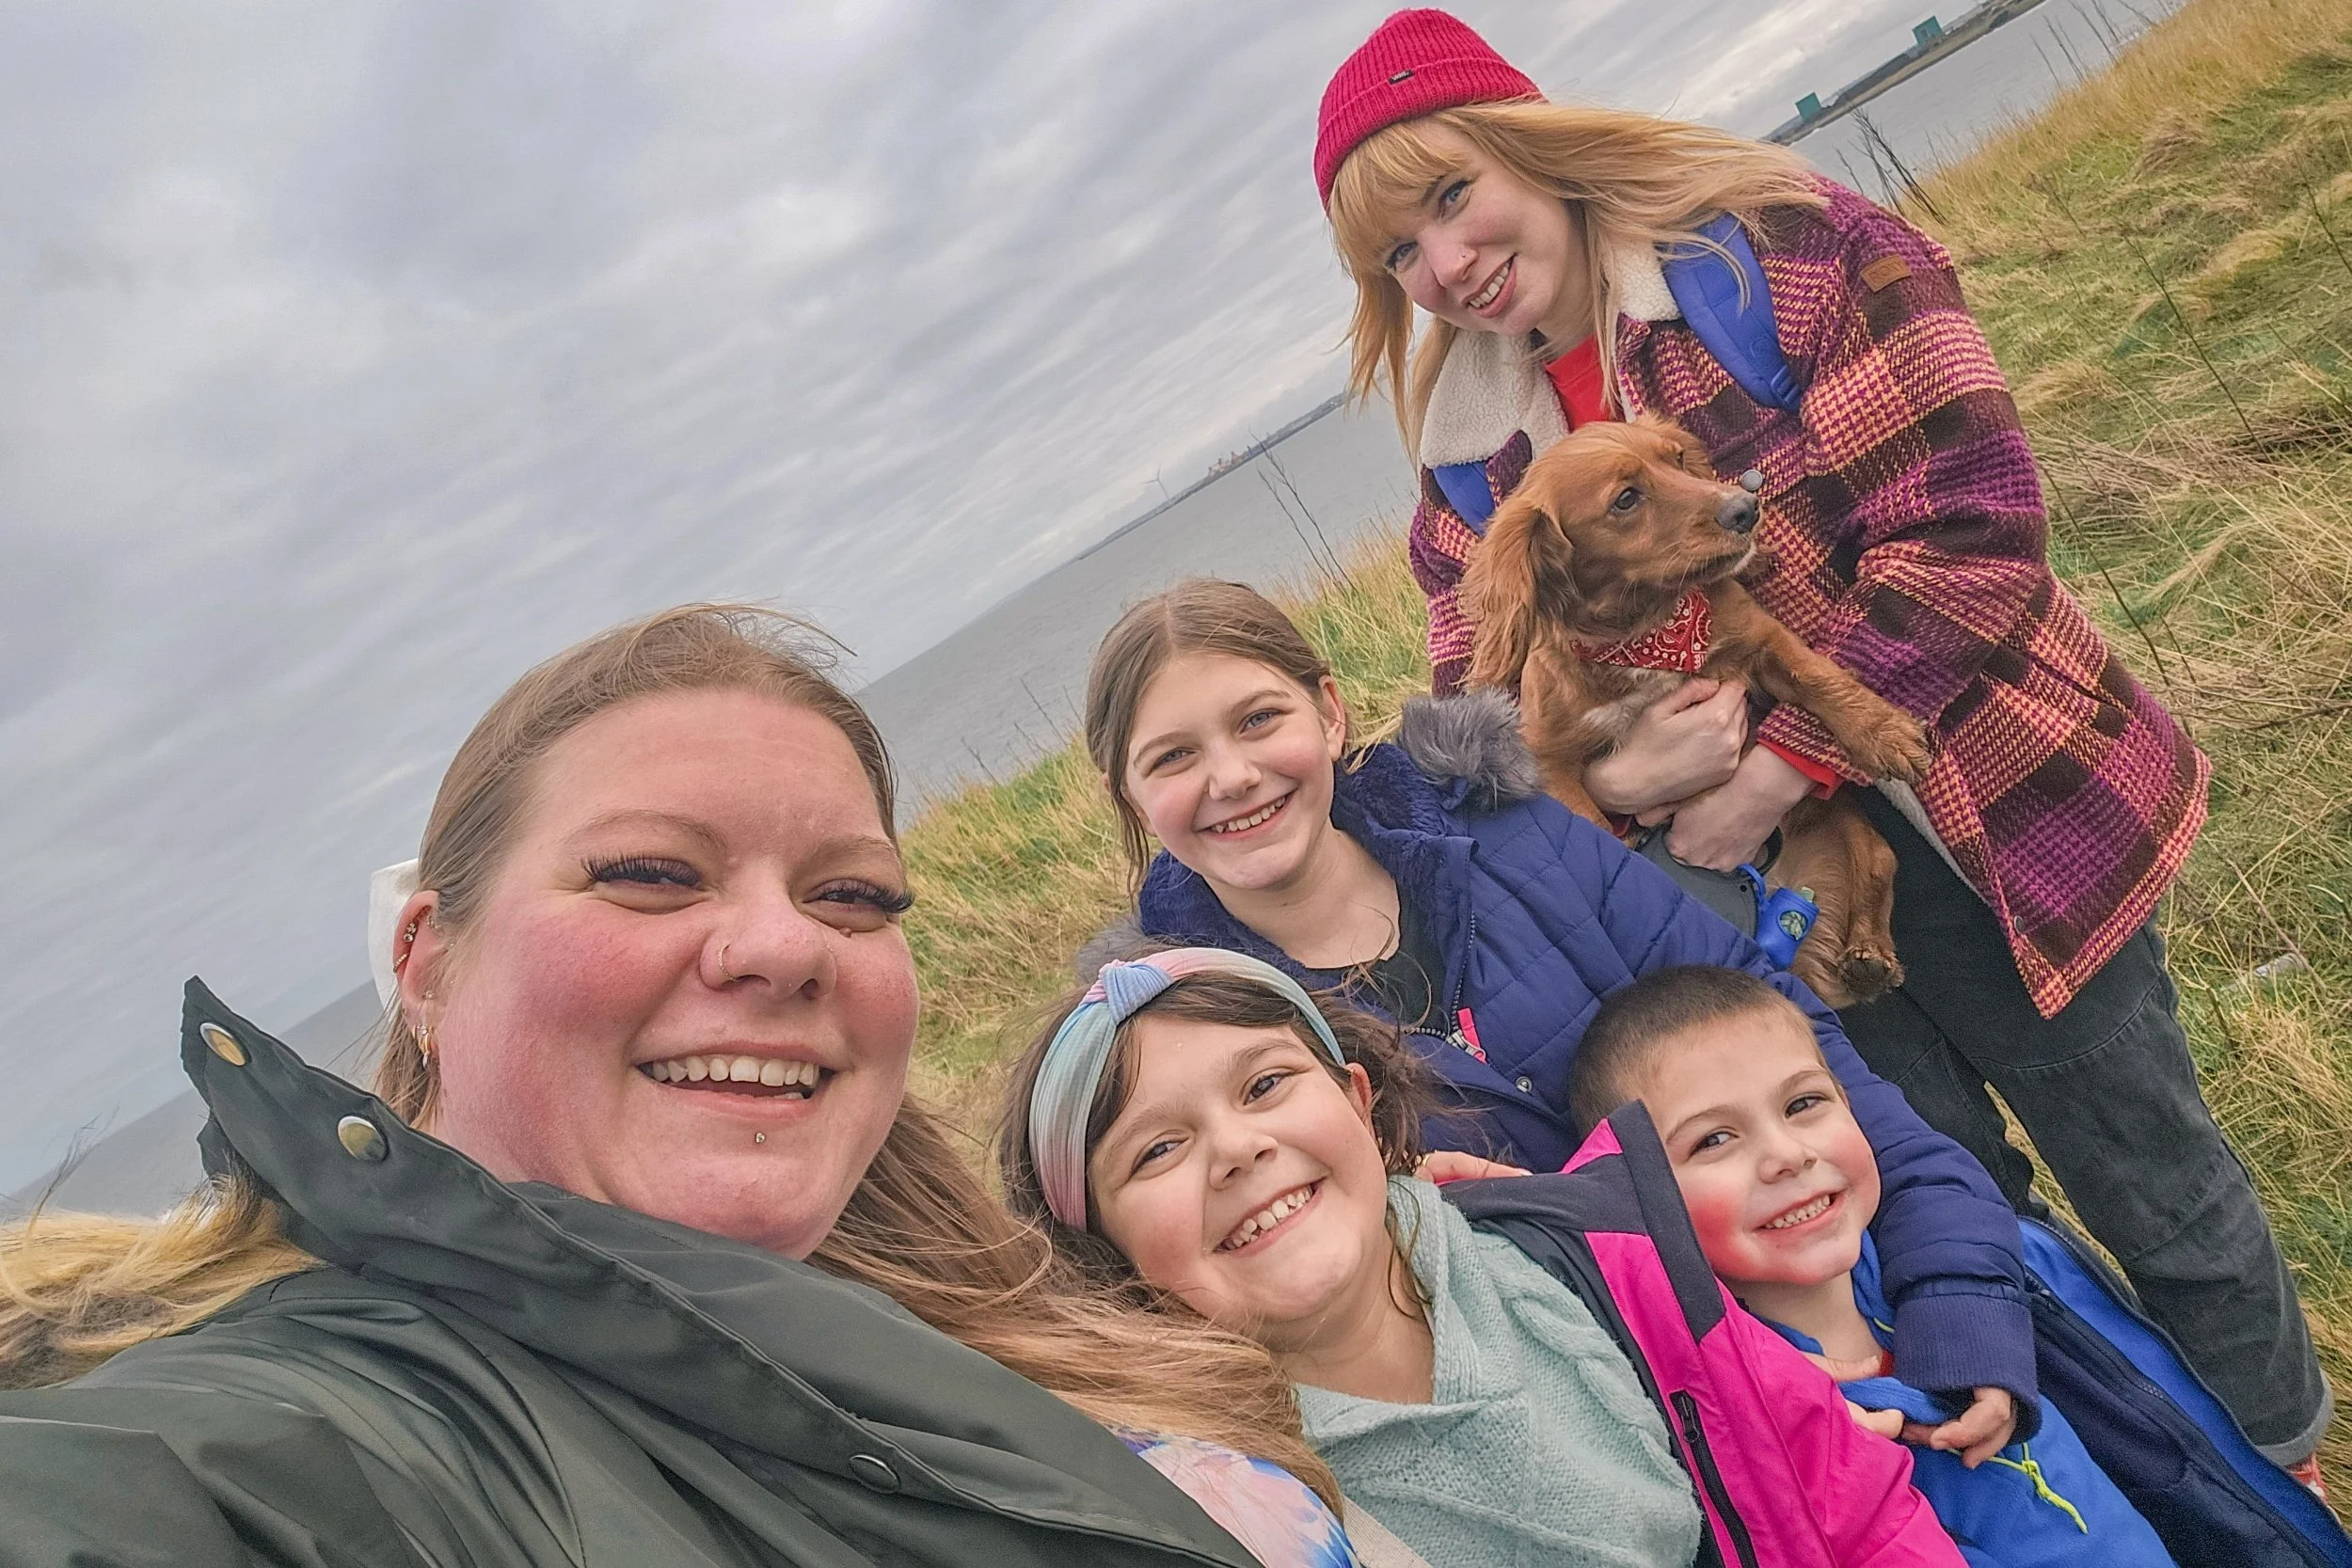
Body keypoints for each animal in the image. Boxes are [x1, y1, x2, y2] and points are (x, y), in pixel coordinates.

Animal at [1459, 416, 1932, 1007]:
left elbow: (1820, 676)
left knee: (1879, 854)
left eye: (1679, 459)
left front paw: (1884, 730)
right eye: (1626, 499)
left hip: (1837, 821)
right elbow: (1594, 827)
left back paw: (1870, 952)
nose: (1745, 507)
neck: (1649, 633)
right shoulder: (1548, 760)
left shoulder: (1761, 640)